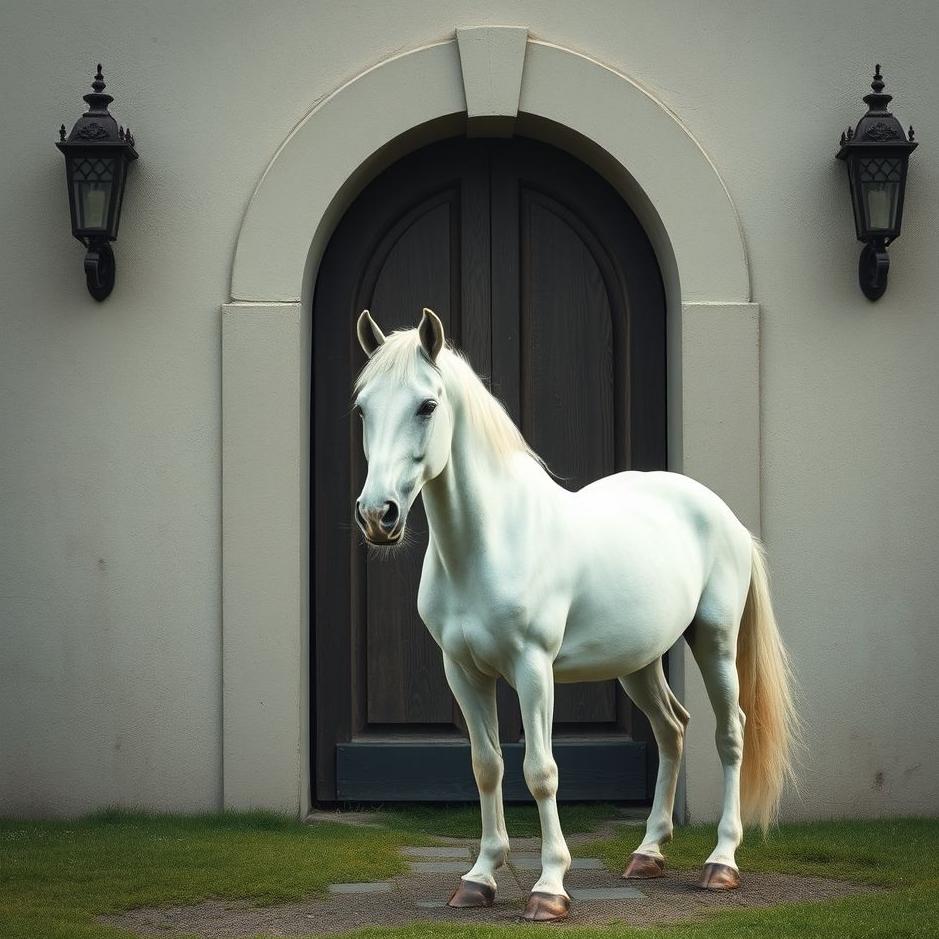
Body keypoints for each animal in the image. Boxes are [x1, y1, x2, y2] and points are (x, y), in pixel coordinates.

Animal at [352, 307, 798, 922]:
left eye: (427, 405)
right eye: (362, 408)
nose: (379, 515)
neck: (491, 541)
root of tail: (724, 515)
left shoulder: (533, 668)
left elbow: (540, 772)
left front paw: (549, 888)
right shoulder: (462, 673)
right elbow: (487, 766)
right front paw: (479, 879)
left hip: (715, 642)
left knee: (730, 733)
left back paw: (721, 862)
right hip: (638, 663)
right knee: (672, 729)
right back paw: (647, 854)